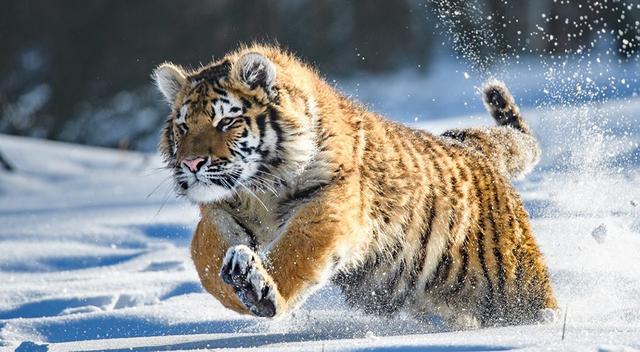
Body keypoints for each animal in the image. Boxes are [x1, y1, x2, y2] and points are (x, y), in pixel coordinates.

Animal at [152, 44, 556, 330]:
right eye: (183, 127)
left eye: (226, 122)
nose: (191, 163)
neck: (260, 190)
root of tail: (472, 147)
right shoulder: (220, 210)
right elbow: (205, 257)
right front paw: (237, 288)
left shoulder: (331, 202)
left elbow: (296, 250)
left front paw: (259, 289)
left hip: (514, 283)